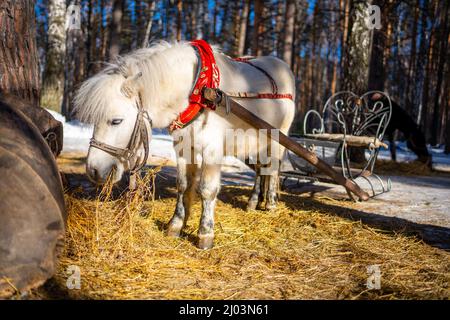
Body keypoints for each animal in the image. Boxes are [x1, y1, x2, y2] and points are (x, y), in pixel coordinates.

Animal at [74, 40, 296, 250]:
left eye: (116, 121)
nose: (93, 171)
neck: (197, 91)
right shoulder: (182, 148)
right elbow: (182, 185)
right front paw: (176, 224)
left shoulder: (212, 151)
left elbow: (207, 189)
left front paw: (205, 234)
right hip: (255, 143)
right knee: (261, 170)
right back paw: (254, 201)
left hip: (278, 139)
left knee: (273, 169)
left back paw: (271, 203)